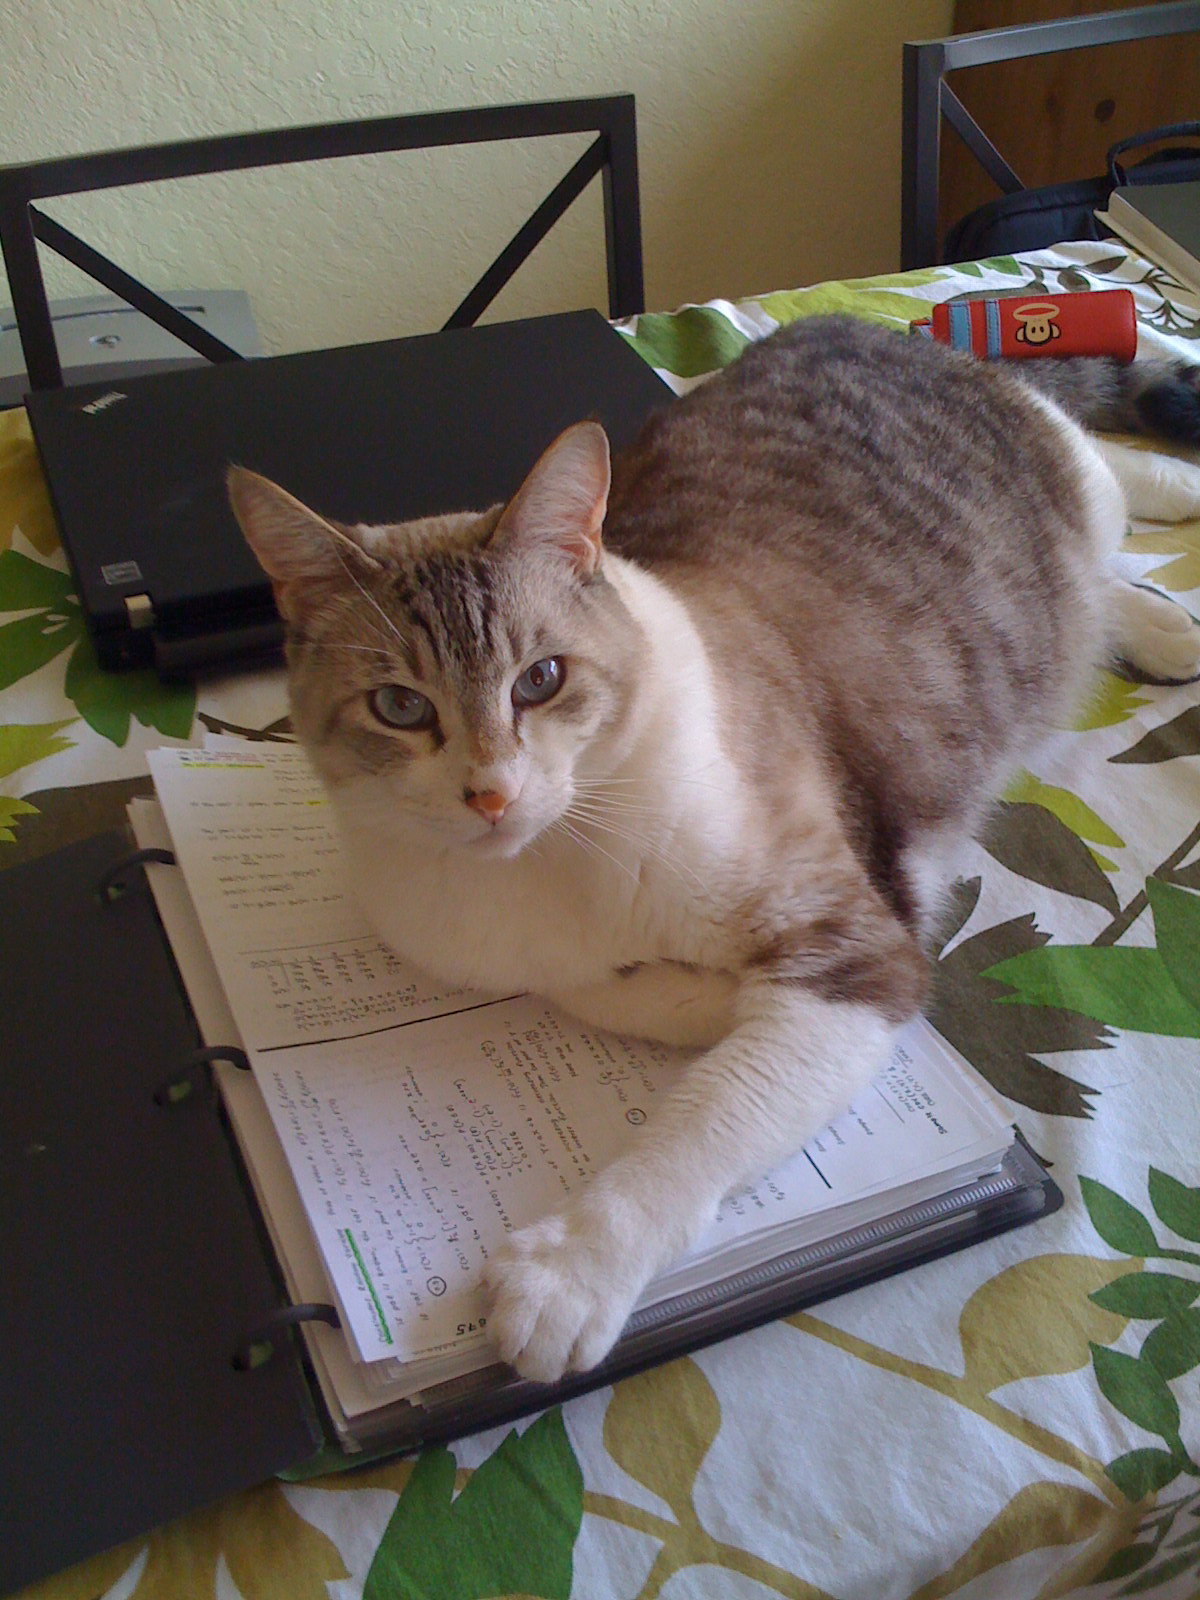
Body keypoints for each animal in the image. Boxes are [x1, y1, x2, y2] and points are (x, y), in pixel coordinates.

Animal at [230, 315, 1200, 1388]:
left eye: (541, 680)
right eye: (401, 707)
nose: (490, 793)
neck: (545, 863)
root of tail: (867, 328)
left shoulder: (857, 949)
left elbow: (711, 1115)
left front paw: (570, 1272)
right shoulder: (502, 957)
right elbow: (604, 992)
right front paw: (697, 995)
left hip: (1063, 487)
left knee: (1102, 471)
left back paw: (1165, 554)